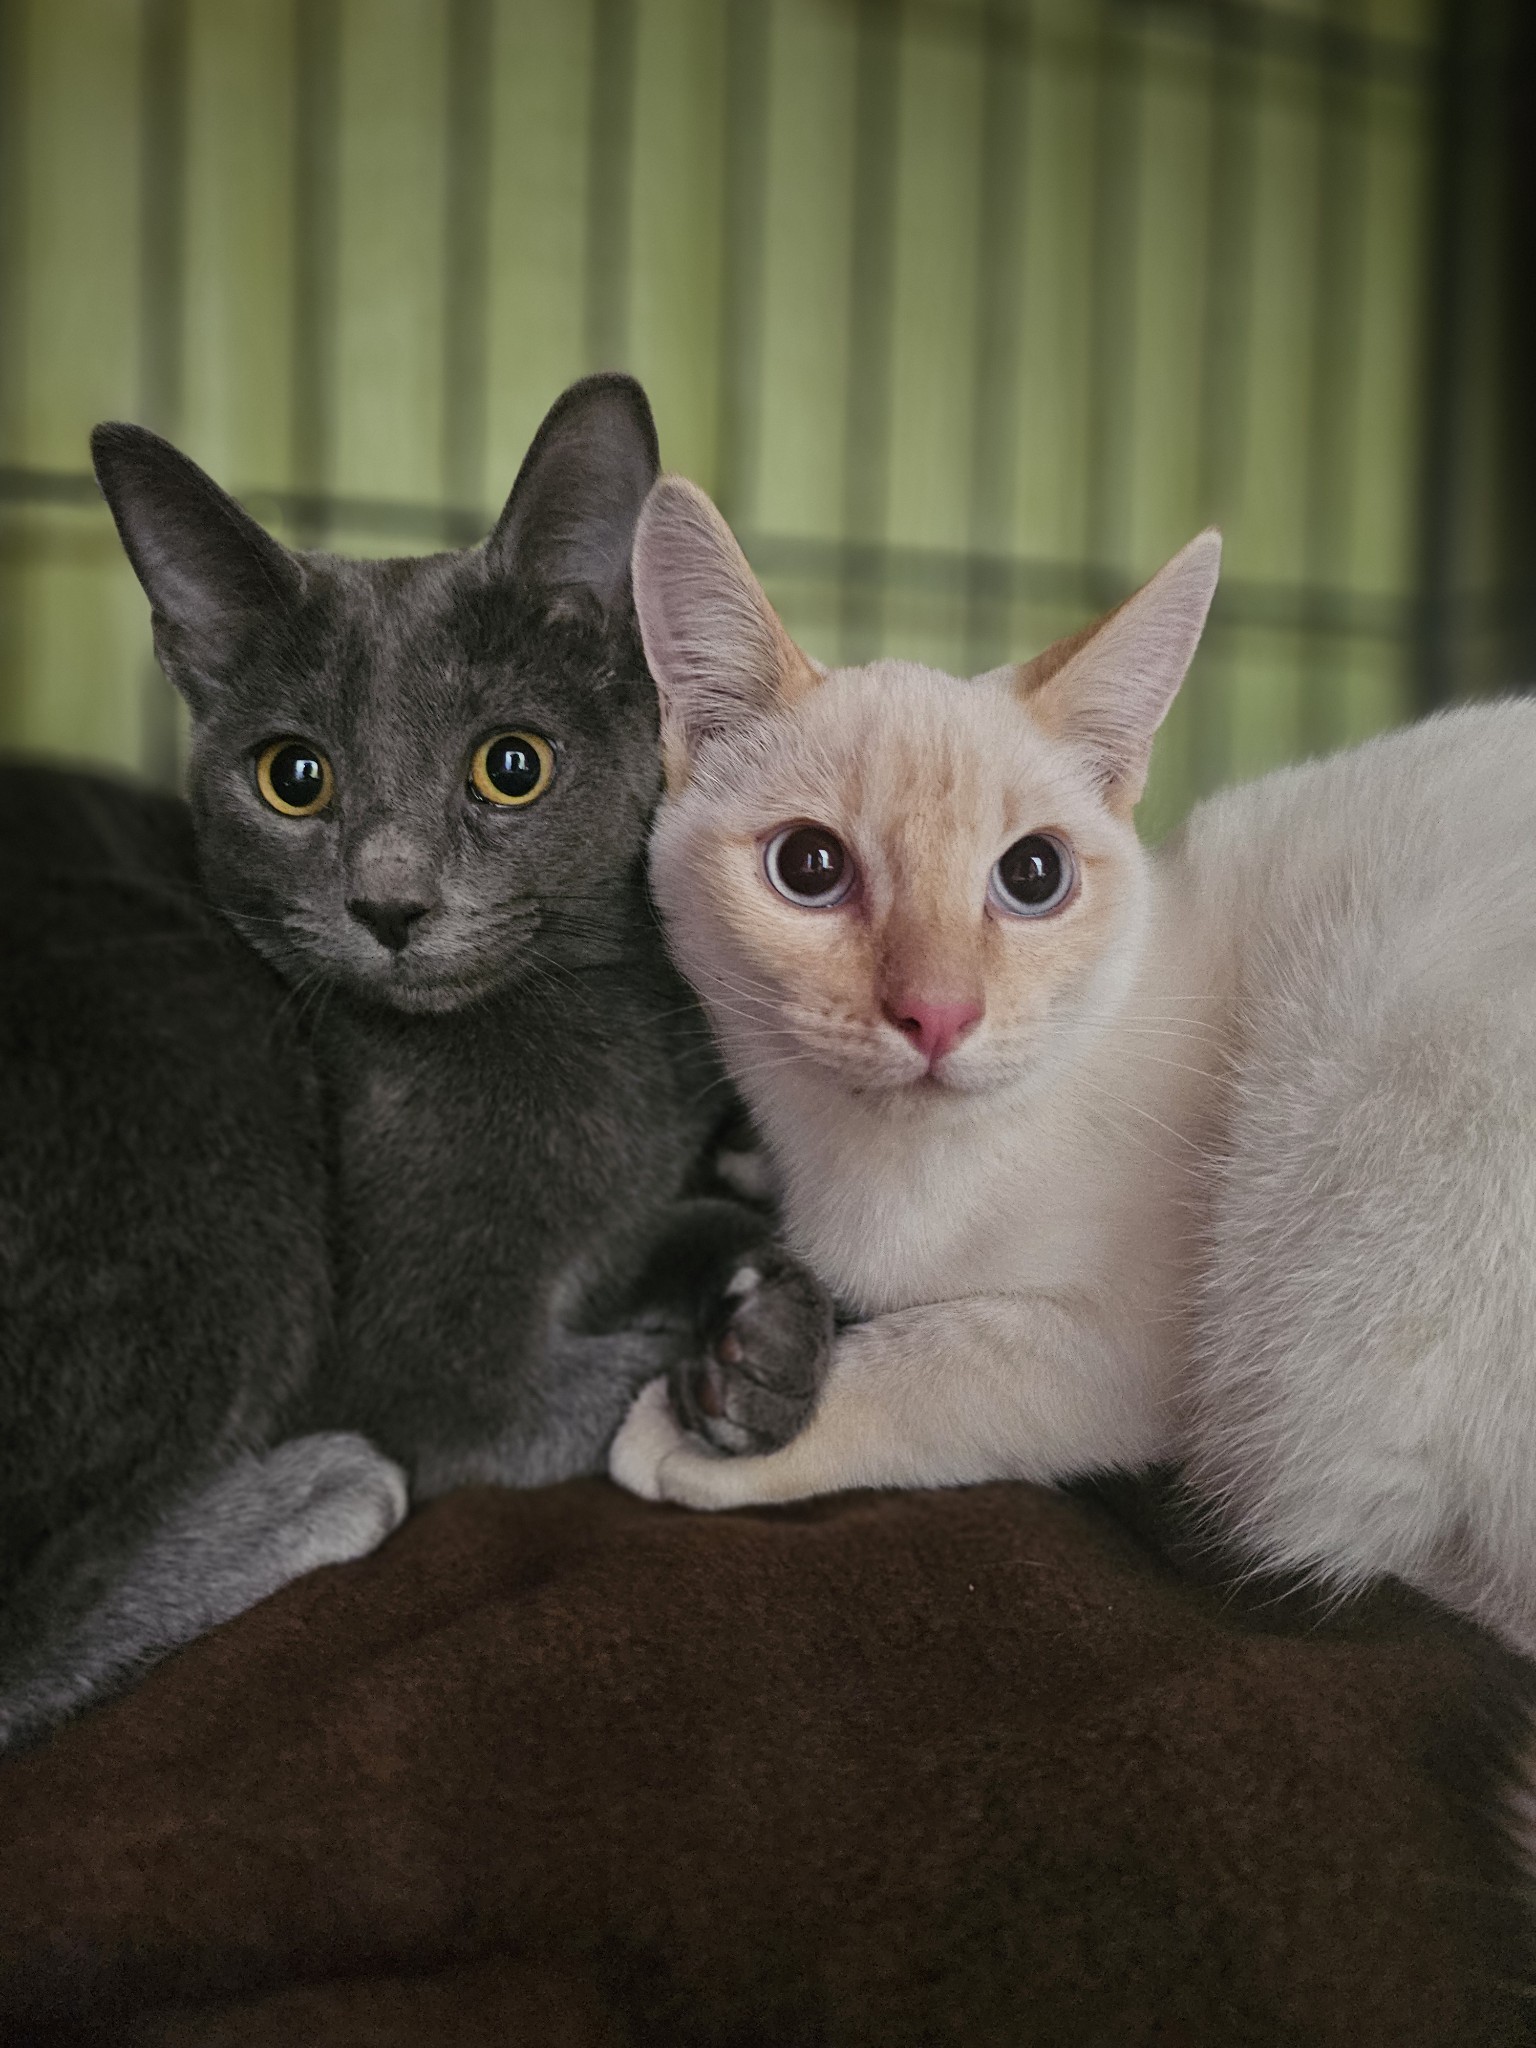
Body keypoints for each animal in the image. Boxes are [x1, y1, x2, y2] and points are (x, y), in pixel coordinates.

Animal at [0, 376, 835, 1753]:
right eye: (293, 777)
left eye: (513, 763)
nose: (390, 903)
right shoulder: (443, 1379)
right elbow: (529, 1405)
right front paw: (735, 1366)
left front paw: (759, 1319)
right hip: (196, 1067)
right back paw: (320, 1485)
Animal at [614, 479, 1536, 1679]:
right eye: (808, 868)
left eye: (1034, 875)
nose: (939, 1012)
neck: (876, 1170)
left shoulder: (1139, 1350)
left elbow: (942, 1358)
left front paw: (697, 1432)